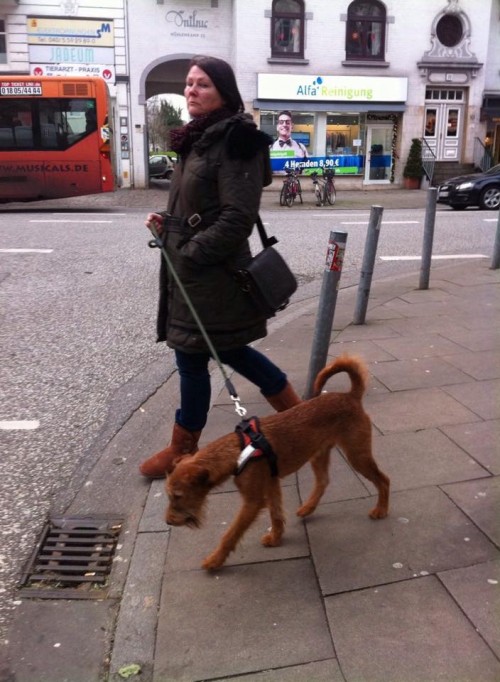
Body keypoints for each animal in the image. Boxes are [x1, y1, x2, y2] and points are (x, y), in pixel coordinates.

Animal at [166, 350, 388, 568]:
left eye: (178, 496)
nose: (168, 521)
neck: (237, 450)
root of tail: (351, 396)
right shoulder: (272, 484)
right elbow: (276, 513)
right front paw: (275, 537)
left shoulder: (253, 502)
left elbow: (231, 533)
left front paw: (214, 559)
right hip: (319, 454)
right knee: (323, 481)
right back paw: (308, 507)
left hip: (357, 455)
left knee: (383, 480)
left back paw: (381, 510)